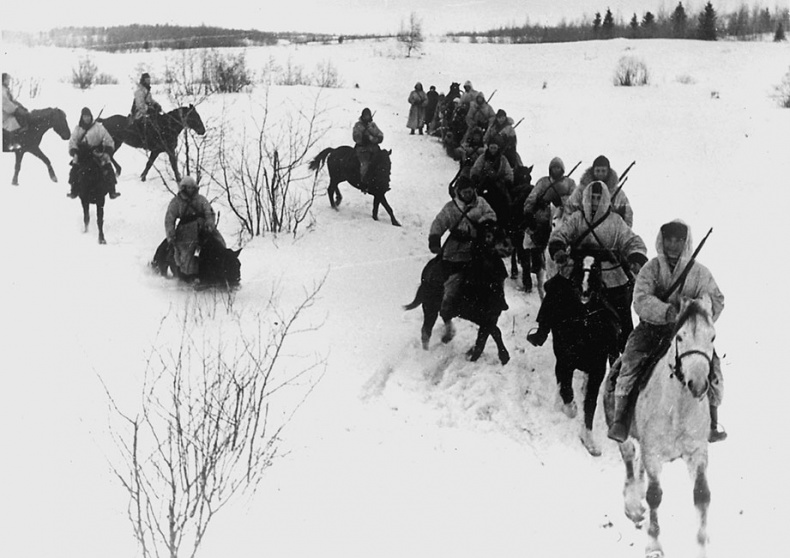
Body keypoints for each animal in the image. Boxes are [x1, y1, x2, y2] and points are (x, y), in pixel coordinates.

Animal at [408, 221, 512, 366]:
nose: (508, 247)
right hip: (429, 307)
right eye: (488, 234)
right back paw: (427, 352)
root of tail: (428, 269)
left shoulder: (491, 317)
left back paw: (448, 336)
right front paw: (501, 356)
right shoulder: (479, 317)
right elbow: (491, 333)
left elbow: (488, 335)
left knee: (443, 317)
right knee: (426, 329)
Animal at [540, 254, 624, 456]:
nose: (584, 291)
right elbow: (566, 390)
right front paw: (570, 407)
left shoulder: (597, 370)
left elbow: (590, 405)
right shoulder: (564, 362)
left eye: (597, 269)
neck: (584, 325)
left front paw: (589, 441)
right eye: (578, 265)